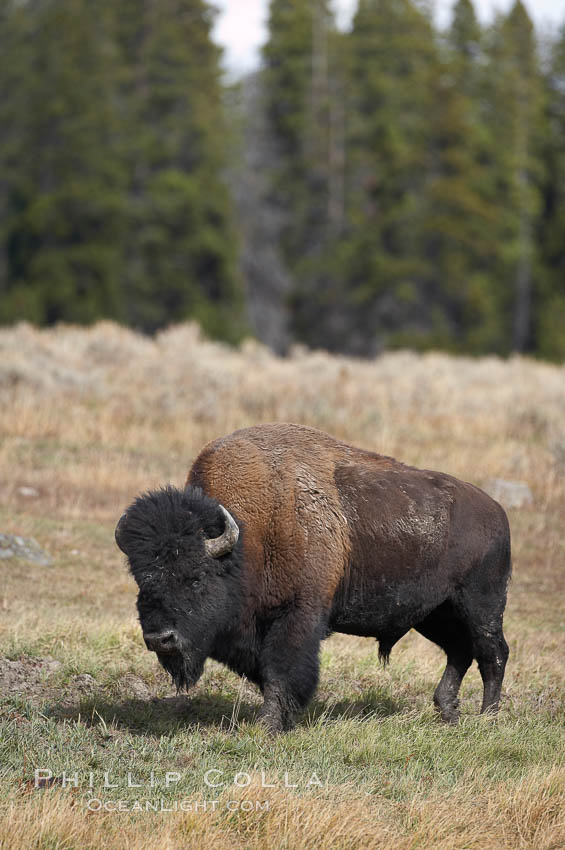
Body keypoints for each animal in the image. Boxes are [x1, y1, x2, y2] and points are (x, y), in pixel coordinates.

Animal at [114, 422, 512, 728]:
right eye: (142, 580)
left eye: (196, 577)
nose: (160, 639)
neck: (249, 535)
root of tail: (497, 512)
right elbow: (266, 673)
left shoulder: (298, 615)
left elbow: (280, 670)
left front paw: (268, 724)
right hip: (433, 614)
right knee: (459, 650)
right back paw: (447, 711)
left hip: (480, 605)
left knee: (492, 652)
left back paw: (488, 717)